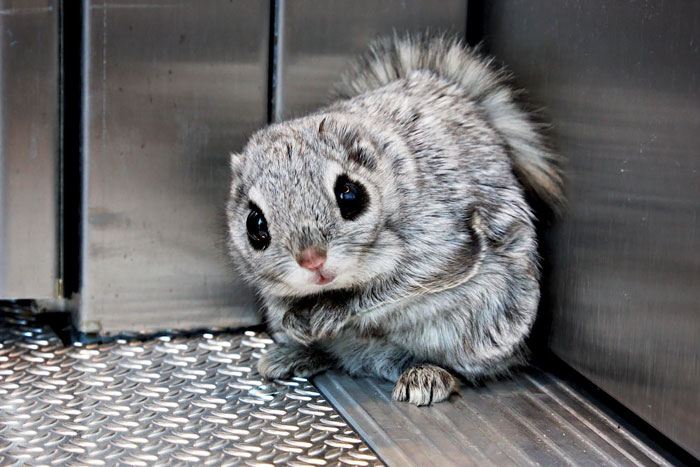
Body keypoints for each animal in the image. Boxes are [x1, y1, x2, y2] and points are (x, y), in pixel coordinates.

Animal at [227, 33, 563, 405]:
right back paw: (295, 354)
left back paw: (427, 374)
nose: (312, 260)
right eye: (255, 225)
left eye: (350, 194)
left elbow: (394, 288)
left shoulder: (444, 241)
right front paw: (294, 320)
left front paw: (335, 311)